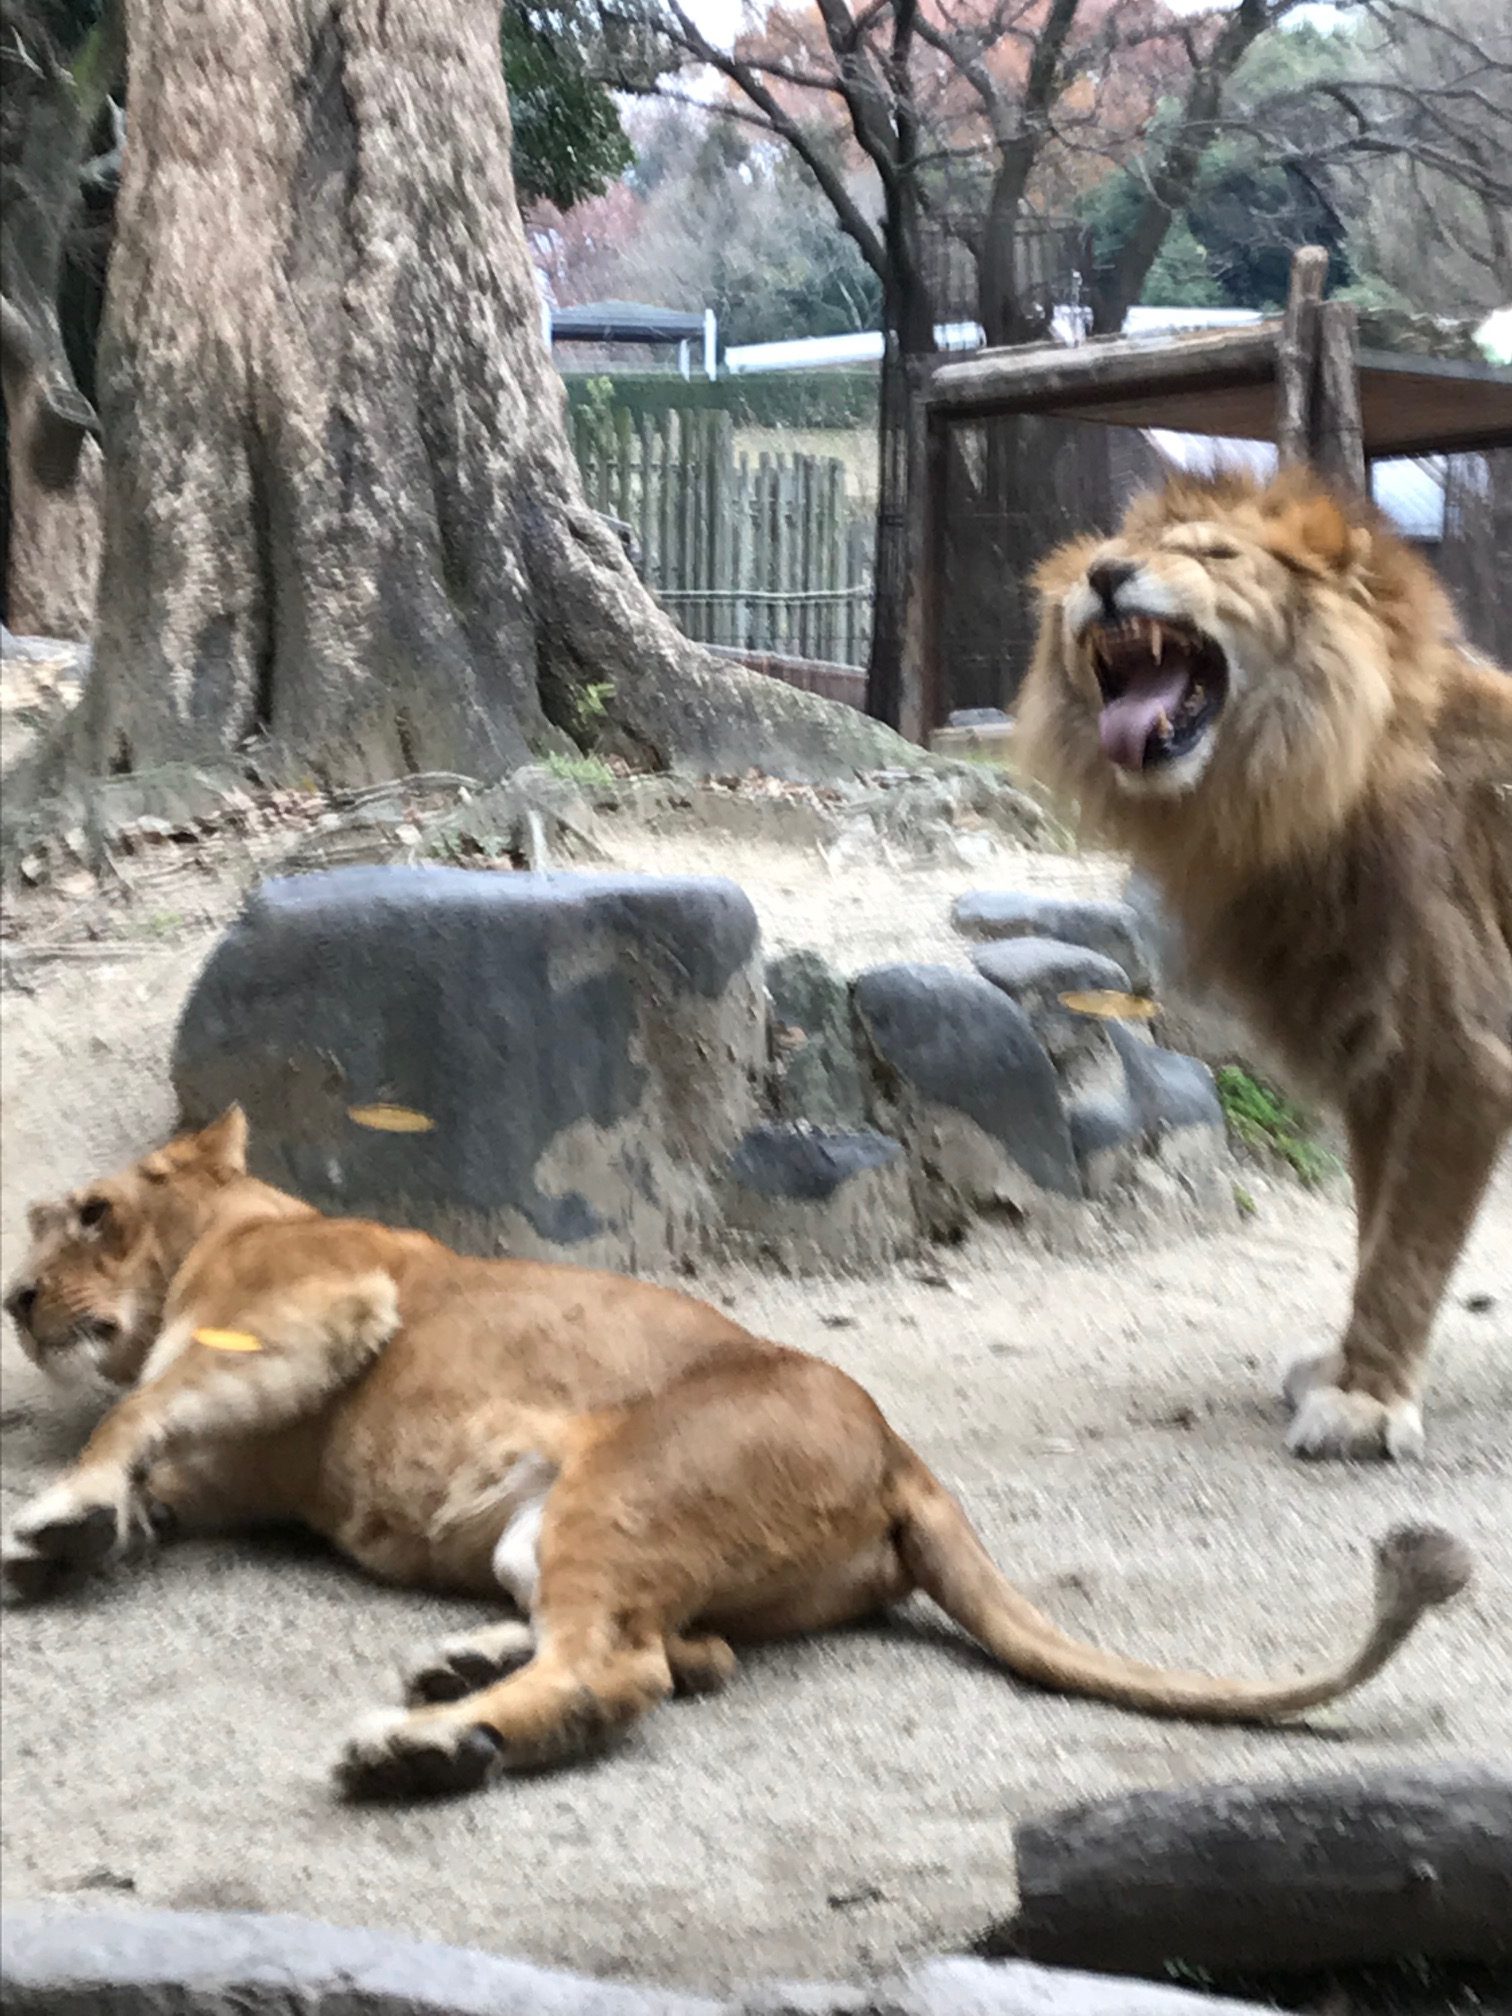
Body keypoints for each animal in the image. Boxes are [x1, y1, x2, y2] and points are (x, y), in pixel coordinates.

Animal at [0, 1112, 1467, 1806]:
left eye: (92, 1214)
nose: (14, 1300)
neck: (242, 1221)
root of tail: (901, 1451)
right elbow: (151, 1468)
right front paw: (95, 1531)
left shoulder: (309, 1312)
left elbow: (129, 1416)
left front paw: (56, 1511)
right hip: (554, 1526)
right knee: (681, 1653)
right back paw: (461, 1675)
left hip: (620, 1488)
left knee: (625, 1668)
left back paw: (424, 1748)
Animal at [1020, 463, 1512, 1459]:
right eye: (1104, 553)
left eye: (1214, 555)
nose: (1104, 575)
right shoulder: (1379, 1051)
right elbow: (1375, 1224)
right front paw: (1346, 1370)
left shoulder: (1464, 1053)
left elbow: (1406, 1248)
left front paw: (1364, 1402)